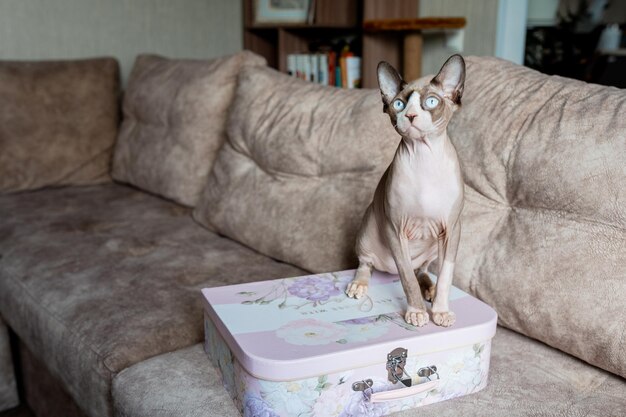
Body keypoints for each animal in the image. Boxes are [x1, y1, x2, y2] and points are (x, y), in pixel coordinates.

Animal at [344, 55, 466, 326]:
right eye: (398, 104)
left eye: (431, 102)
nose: (409, 115)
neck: (425, 158)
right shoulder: (396, 229)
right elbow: (406, 277)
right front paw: (417, 311)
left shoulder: (452, 229)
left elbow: (446, 276)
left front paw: (440, 311)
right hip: (369, 228)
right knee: (366, 264)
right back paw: (358, 285)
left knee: (422, 270)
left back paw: (429, 288)